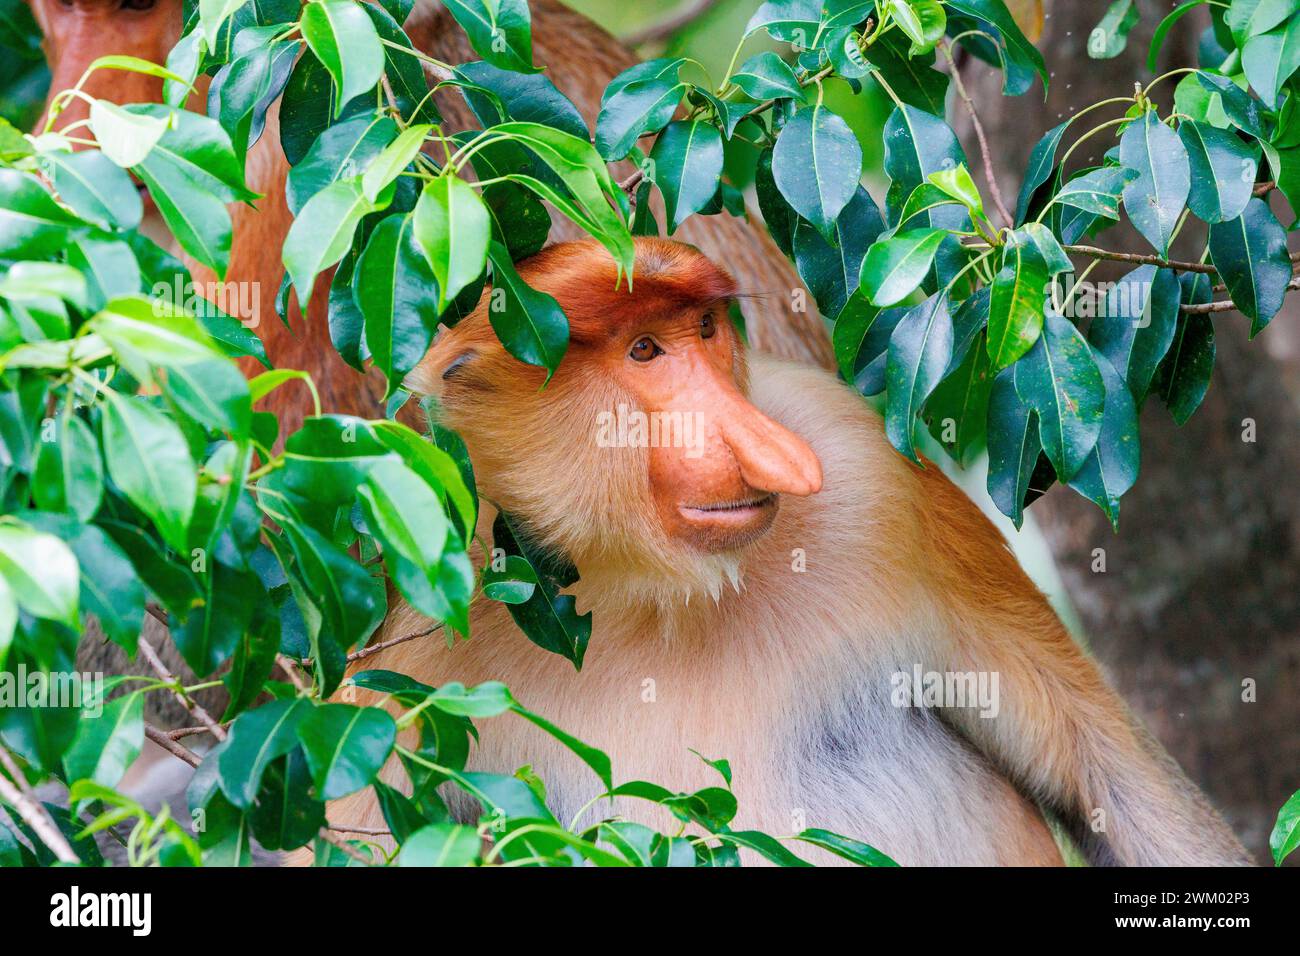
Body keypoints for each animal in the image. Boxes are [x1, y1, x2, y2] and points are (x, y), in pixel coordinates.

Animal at [300, 237, 1251, 867]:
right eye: (643, 350)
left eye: (705, 331)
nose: (766, 448)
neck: (651, 595)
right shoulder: (418, 652)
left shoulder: (868, 471)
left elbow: (1104, 771)